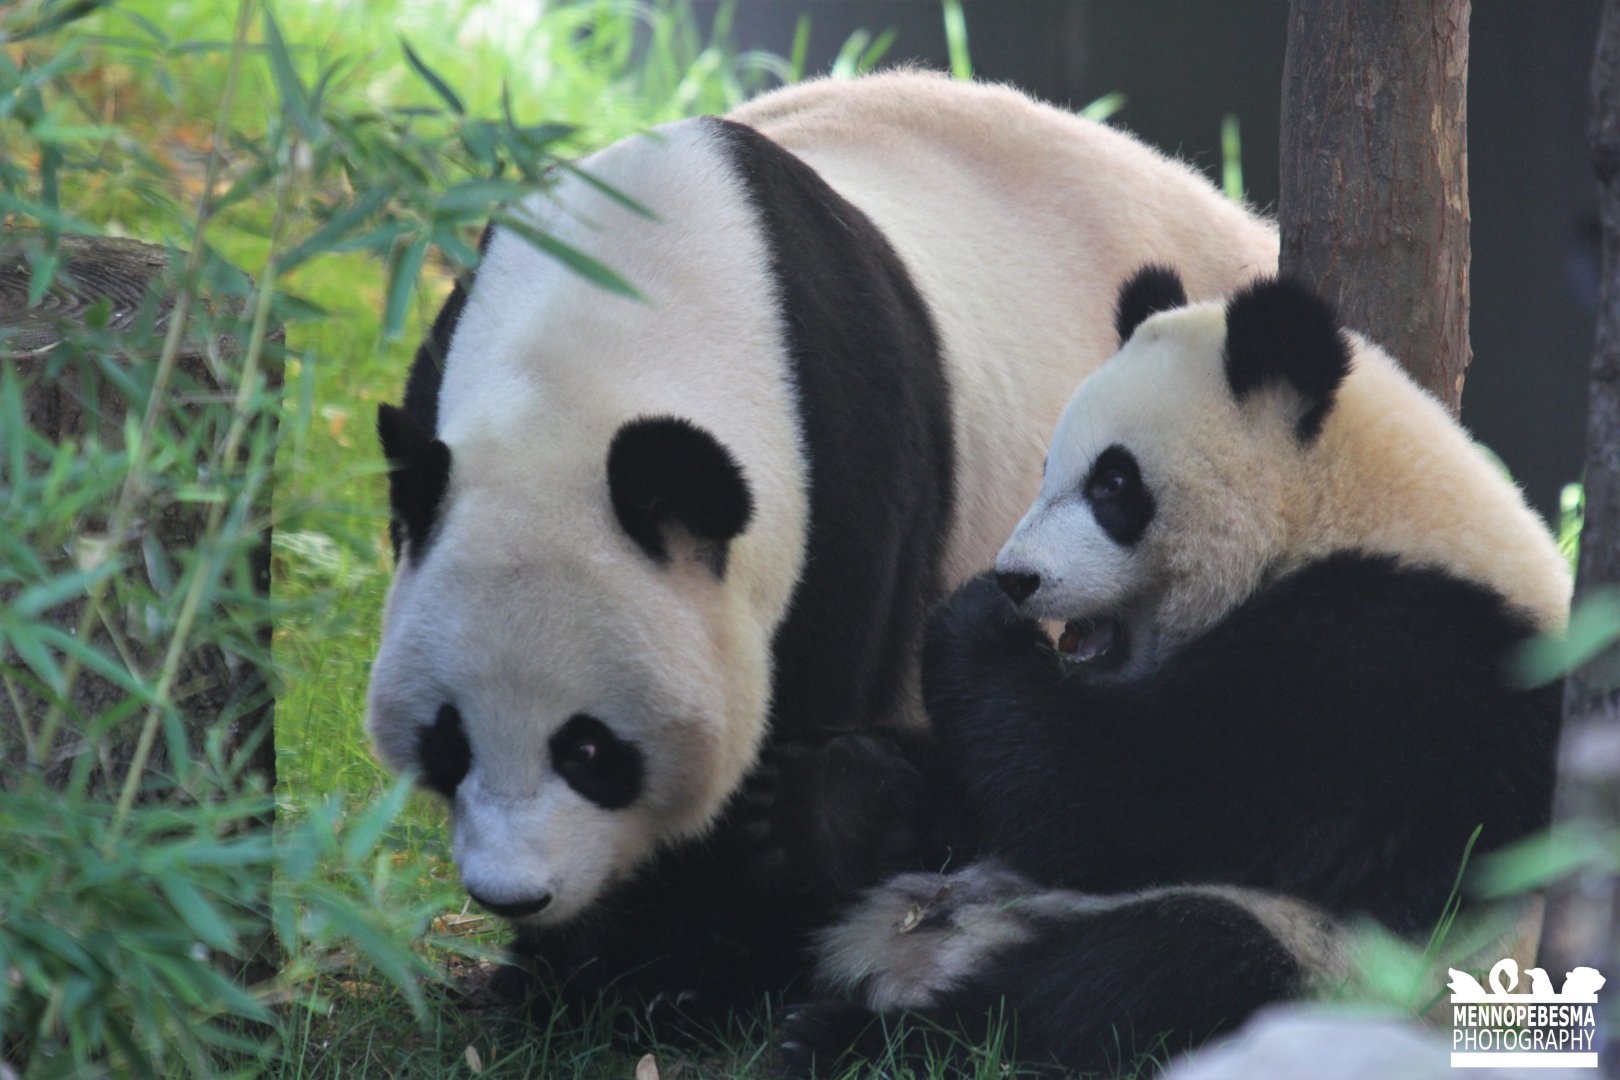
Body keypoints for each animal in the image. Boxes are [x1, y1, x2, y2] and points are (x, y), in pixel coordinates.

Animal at [364, 73, 1277, 1019]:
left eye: (589, 750)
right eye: (448, 739)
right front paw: (552, 970)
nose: (514, 896)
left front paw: (670, 971)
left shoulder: (847, 463)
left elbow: (793, 705)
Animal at [780, 268, 1571, 1076]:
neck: (1342, 502)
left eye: (1113, 483)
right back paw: (852, 802)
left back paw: (861, 1034)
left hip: (1353, 971)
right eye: (1047, 470)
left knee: (1146, 976)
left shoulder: (1396, 662)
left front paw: (976, 626)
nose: (1017, 579)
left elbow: (1133, 799)